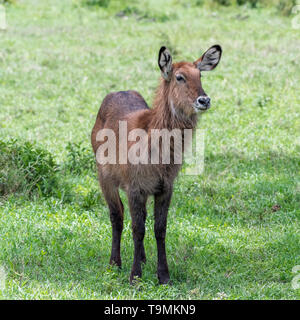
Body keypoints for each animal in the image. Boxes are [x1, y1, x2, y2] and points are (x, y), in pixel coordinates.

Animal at [91, 44, 223, 282]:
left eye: (199, 75)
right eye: (179, 77)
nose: (204, 100)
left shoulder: (165, 188)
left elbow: (159, 229)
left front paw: (164, 276)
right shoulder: (135, 188)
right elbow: (137, 229)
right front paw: (135, 276)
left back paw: (142, 258)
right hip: (105, 179)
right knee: (117, 216)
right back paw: (115, 263)